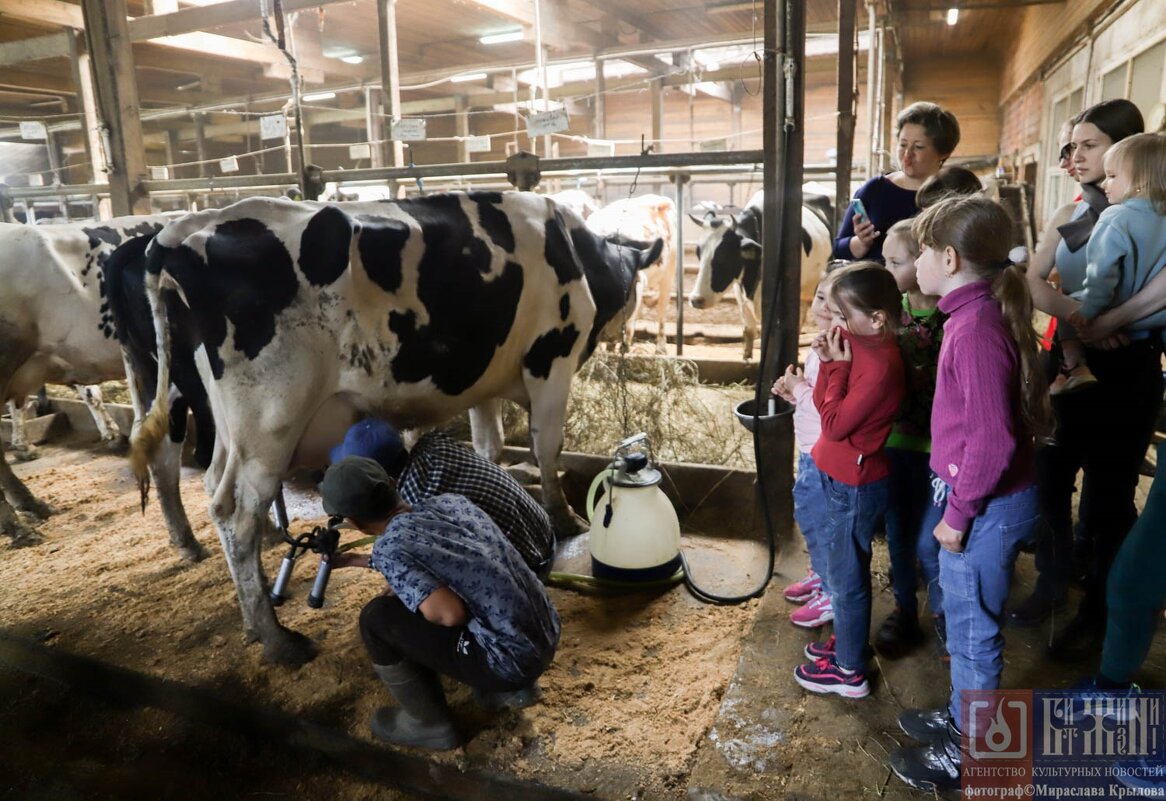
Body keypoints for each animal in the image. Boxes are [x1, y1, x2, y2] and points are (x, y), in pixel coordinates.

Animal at [128, 192, 662, 662]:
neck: (574, 253)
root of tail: (182, 231)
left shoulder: (486, 380)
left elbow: (490, 448)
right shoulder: (552, 362)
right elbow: (547, 447)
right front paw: (567, 518)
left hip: (229, 423)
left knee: (212, 486)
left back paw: (253, 622)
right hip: (270, 417)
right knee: (235, 513)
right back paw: (278, 640)